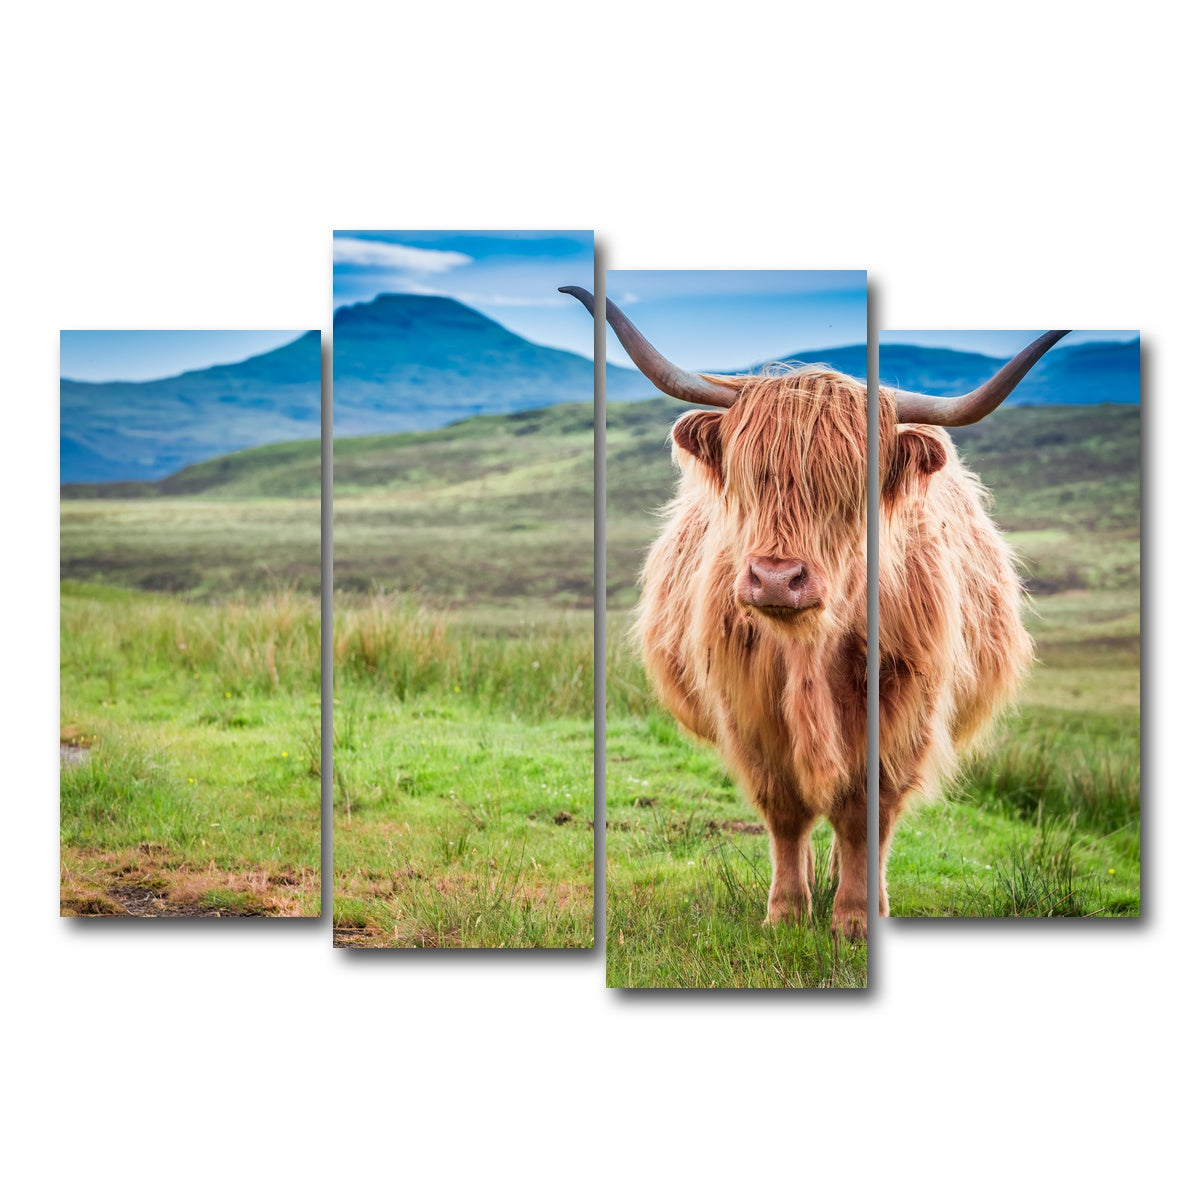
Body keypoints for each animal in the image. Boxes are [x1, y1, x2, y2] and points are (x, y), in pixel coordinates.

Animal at [563, 285, 1063, 939]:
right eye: (749, 478)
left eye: (852, 490)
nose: (777, 578)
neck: (810, 653)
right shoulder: (748, 709)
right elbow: (786, 810)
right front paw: (786, 912)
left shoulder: (903, 713)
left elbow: (864, 813)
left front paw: (854, 918)